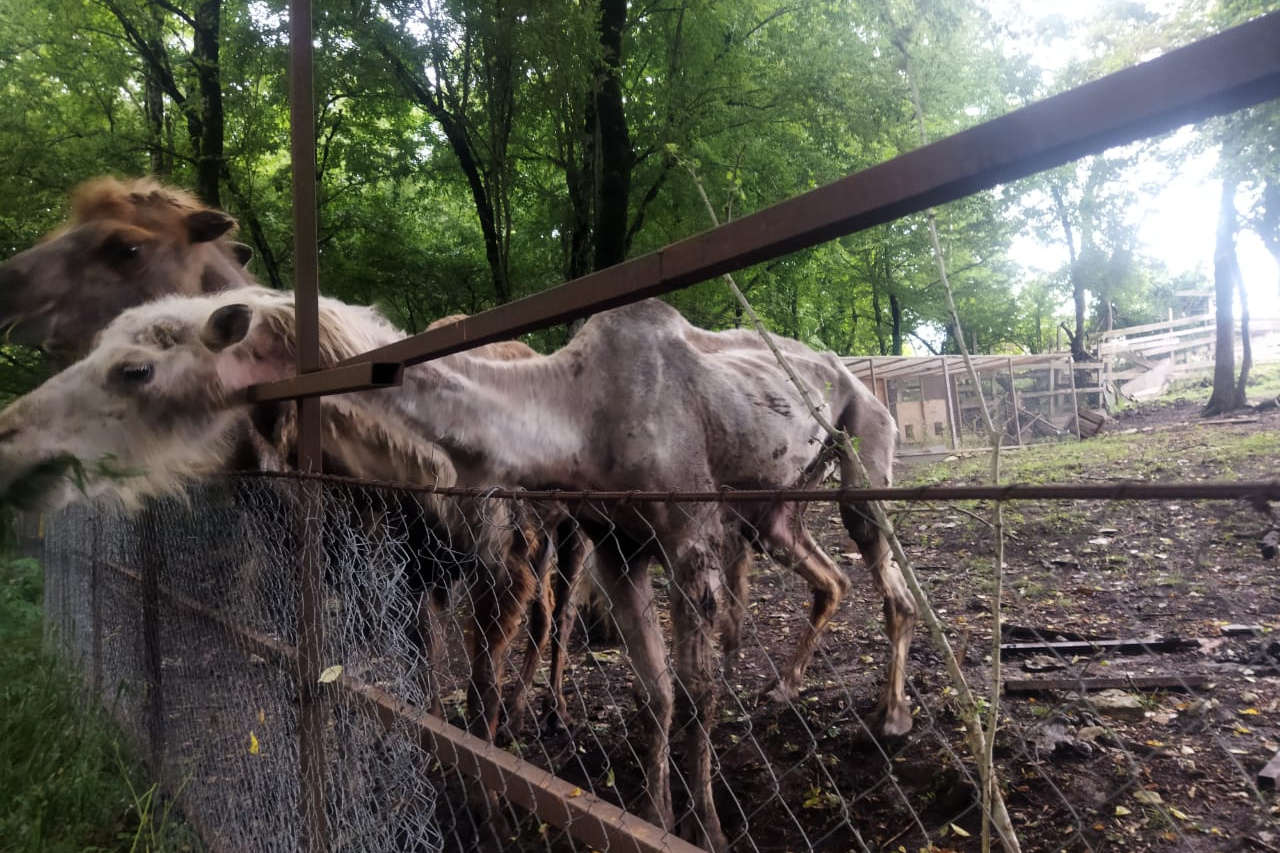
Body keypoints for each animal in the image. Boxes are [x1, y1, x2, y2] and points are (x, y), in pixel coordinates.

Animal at [0, 286, 916, 850]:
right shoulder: (615, 546)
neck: (576, 413)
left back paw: (894, 713)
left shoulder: (684, 528)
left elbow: (688, 696)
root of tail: (855, 375)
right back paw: (788, 687)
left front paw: (711, 830)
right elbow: (655, 695)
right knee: (825, 574)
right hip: (771, 508)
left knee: (887, 574)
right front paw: (655, 817)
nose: (11, 434)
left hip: (864, 447)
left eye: (135, 367)